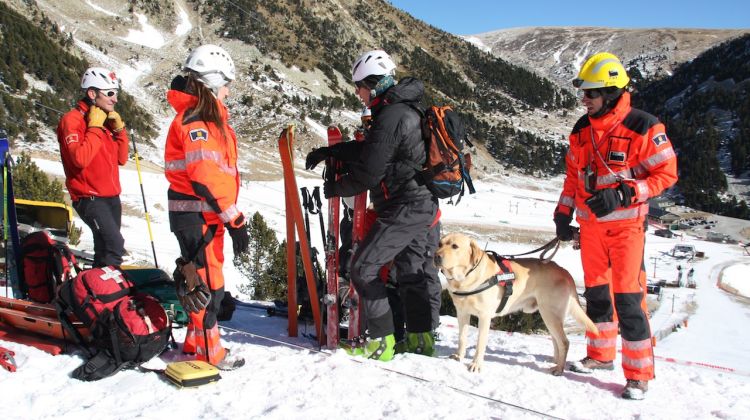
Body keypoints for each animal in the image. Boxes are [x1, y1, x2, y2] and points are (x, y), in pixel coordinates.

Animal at [434, 233, 600, 374]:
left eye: (455, 246)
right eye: (440, 243)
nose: (436, 256)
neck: (466, 277)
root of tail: (565, 272)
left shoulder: (485, 317)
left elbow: (480, 343)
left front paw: (476, 365)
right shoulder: (462, 313)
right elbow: (462, 338)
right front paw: (458, 356)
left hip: (550, 313)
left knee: (564, 342)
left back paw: (559, 369)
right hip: (550, 315)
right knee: (556, 340)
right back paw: (555, 361)